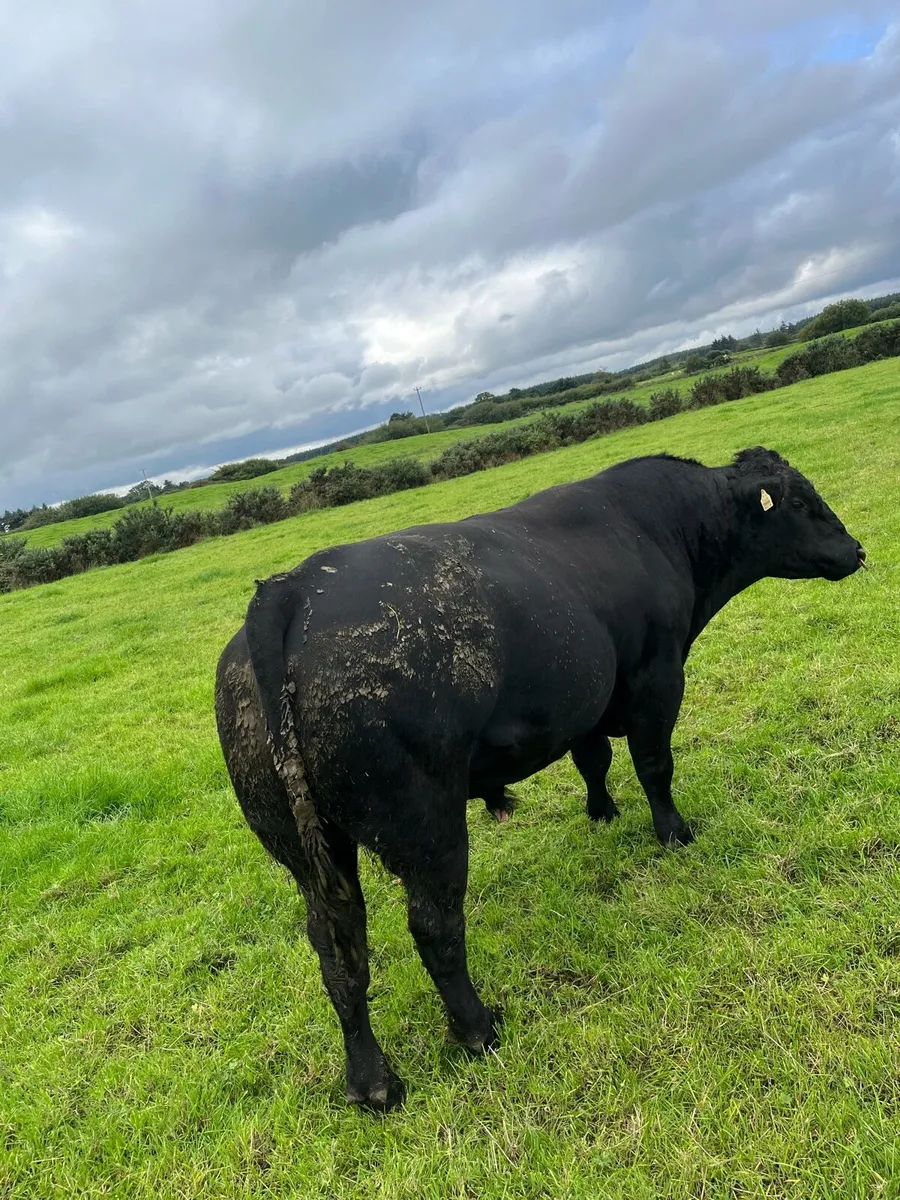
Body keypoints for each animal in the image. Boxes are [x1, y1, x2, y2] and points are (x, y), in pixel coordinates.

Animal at [214, 447, 865, 1112]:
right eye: (801, 502)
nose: (858, 549)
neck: (662, 528)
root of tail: (290, 589)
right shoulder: (655, 677)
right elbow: (654, 765)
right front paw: (674, 833)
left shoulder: (583, 699)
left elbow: (594, 759)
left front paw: (602, 812)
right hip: (427, 826)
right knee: (434, 927)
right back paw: (478, 1029)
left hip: (306, 850)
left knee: (337, 947)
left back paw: (373, 1082)